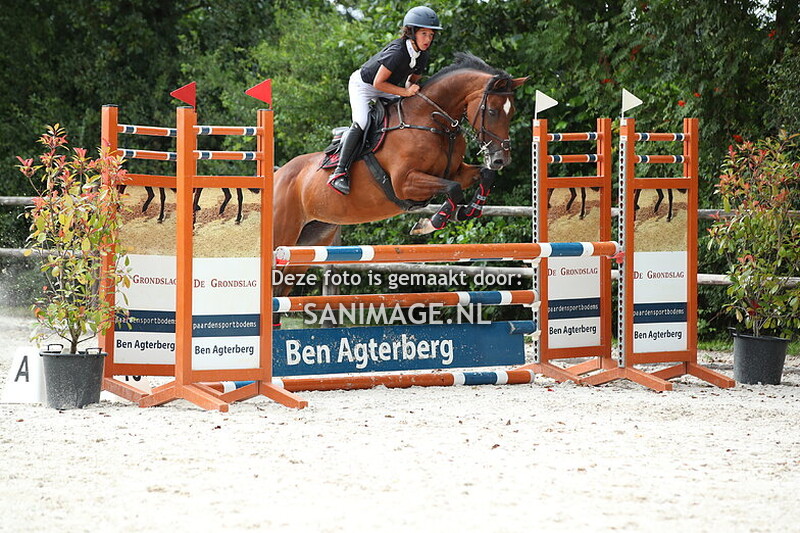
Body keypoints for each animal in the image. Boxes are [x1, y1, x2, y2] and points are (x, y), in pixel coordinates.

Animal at [271, 53, 527, 316]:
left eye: (512, 112)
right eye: (493, 111)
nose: (501, 159)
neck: (433, 122)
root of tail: (278, 175)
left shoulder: (455, 172)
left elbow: (483, 176)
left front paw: (469, 210)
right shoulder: (404, 183)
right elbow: (452, 189)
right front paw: (430, 223)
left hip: (310, 240)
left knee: (280, 288)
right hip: (282, 235)